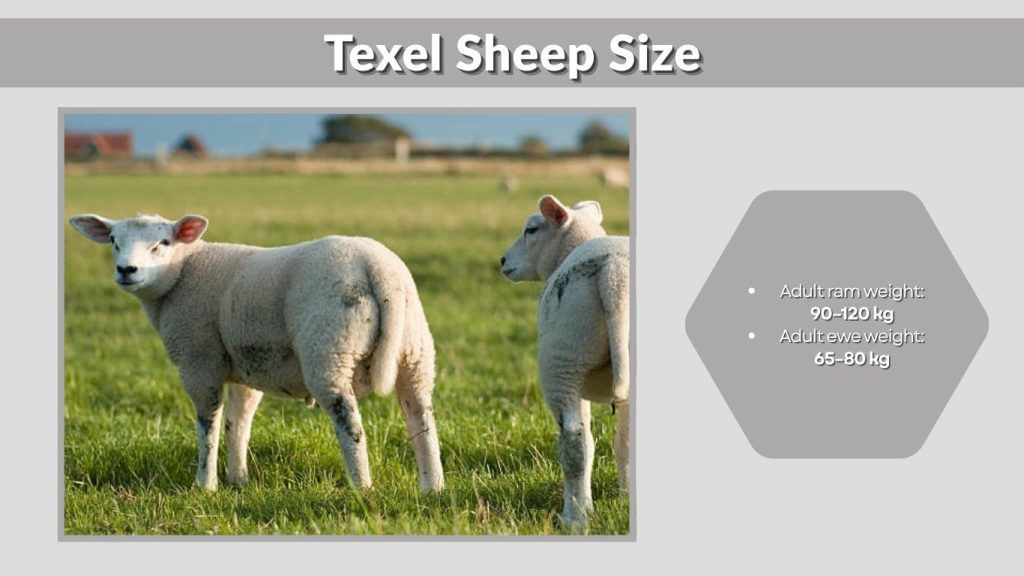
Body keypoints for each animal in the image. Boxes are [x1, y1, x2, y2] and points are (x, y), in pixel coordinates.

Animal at [68, 213, 444, 494]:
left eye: (162, 244)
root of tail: (378, 269)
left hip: (329, 350)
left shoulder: (199, 361)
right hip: (415, 352)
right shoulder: (243, 365)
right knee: (421, 418)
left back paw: (361, 487)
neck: (183, 272)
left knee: (349, 423)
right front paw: (238, 480)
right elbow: (239, 421)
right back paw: (432, 487)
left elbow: (208, 424)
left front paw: (205, 485)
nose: (126, 271)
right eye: (114, 241)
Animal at [500, 195, 630, 531]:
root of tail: (614, 275)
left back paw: (575, 518)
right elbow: (623, 442)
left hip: (563, 358)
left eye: (531, 229)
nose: (502, 261)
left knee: (574, 443)